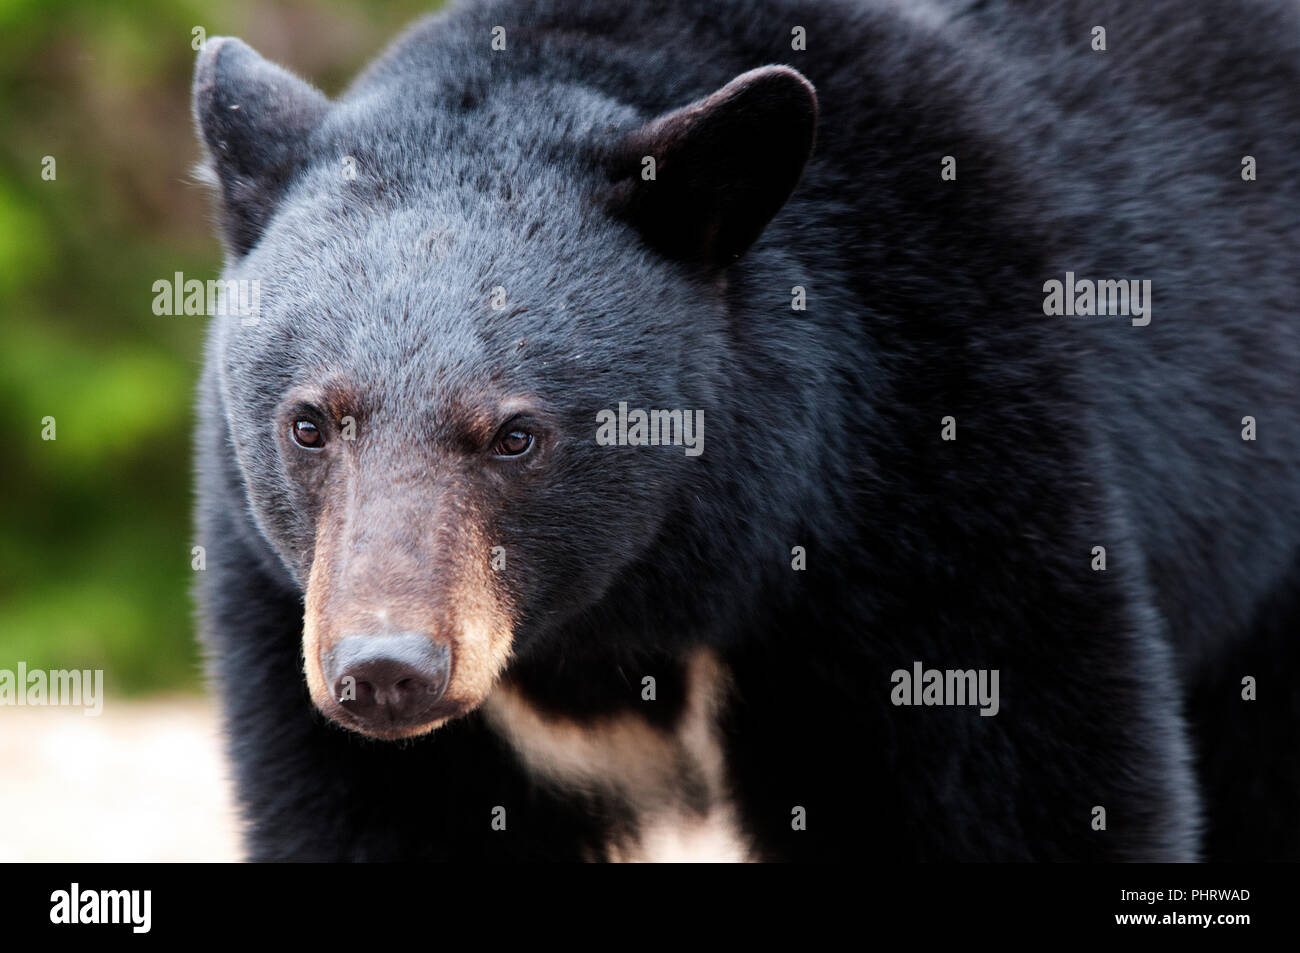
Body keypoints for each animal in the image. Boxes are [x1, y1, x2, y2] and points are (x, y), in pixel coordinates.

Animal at [191, 0, 1300, 862]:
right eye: (308, 423)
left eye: (514, 436)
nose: (385, 670)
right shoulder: (291, 612)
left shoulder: (939, 478)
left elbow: (1017, 784)